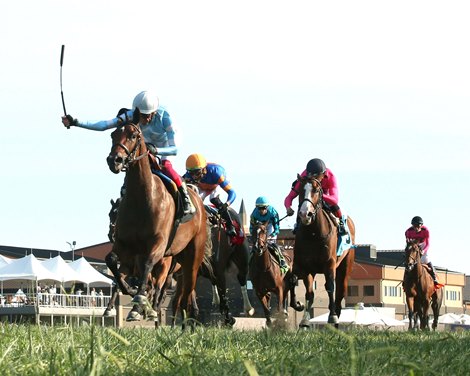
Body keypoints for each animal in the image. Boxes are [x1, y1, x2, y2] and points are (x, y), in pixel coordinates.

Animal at [104, 110, 207, 328]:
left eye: (134, 135)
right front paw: (130, 295)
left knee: (184, 294)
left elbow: (148, 270)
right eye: (113, 135)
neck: (141, 199)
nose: (114, 160)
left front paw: (139, 306)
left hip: (191, 257)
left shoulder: (158, 246)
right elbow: (112, 263)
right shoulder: (124, 247)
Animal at [292, 176, 354, 326]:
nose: (305, 214)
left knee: (339, 294)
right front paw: (303, 317)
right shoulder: (305, 267)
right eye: (299, 190)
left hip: (345, 268)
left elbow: (330, 287)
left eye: (316, 190)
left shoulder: (329, 264)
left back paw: (336, 319)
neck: (313, 234)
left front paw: (332, 316)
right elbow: (307, 292)